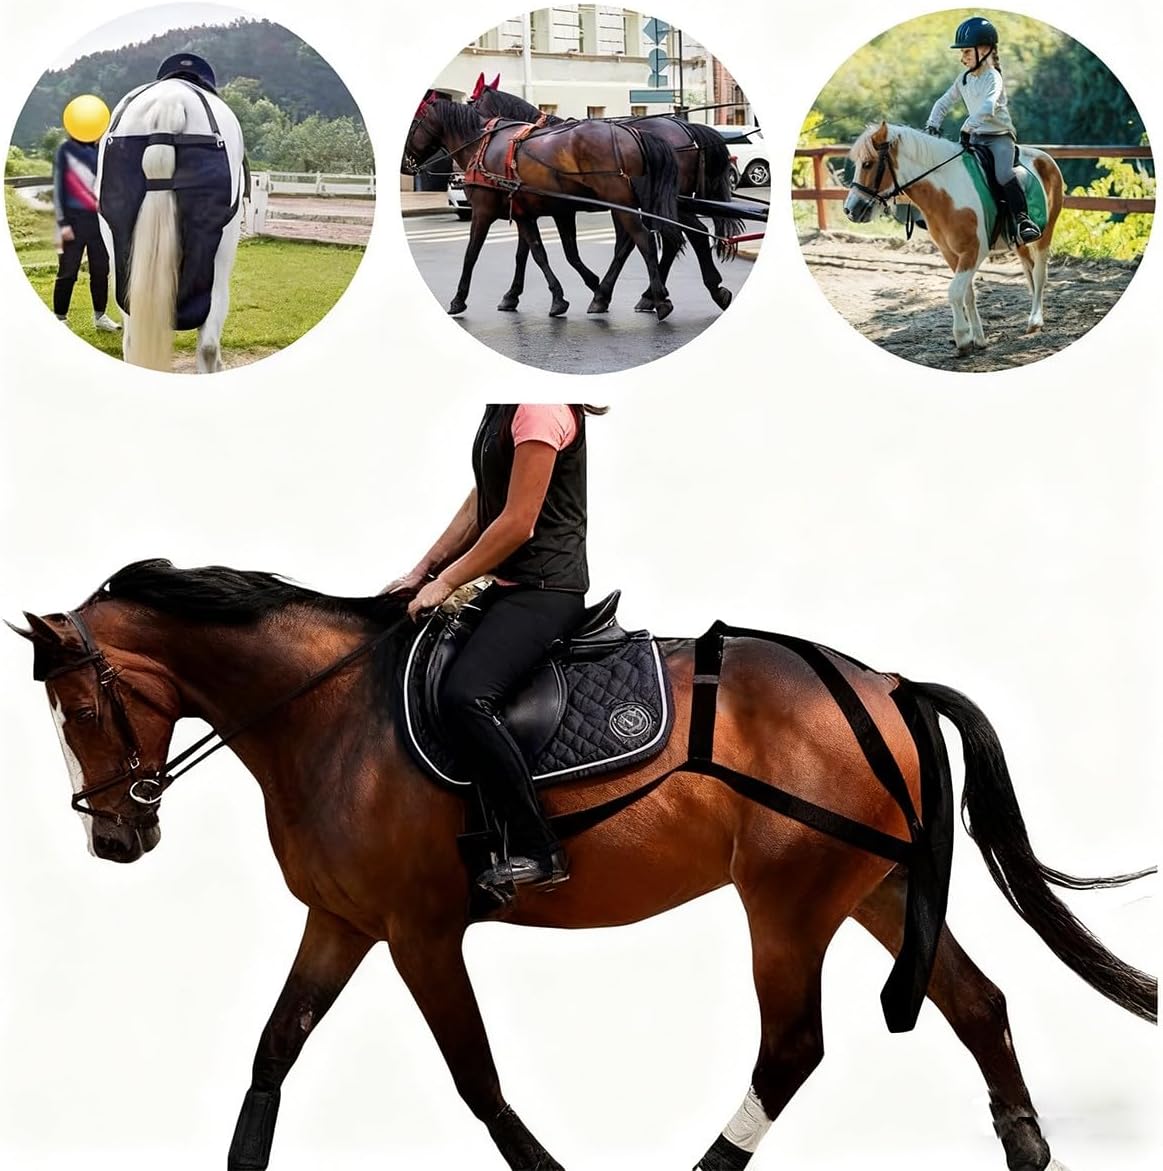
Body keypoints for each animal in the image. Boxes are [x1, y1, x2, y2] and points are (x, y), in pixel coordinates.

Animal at [14, 558, 1155, 1171]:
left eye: (81, 709)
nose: (113, 837)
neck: (330, 713)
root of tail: (884, 682)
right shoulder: (340, 921)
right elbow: (271, 1053)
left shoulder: (418, 931)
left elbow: (474, 1077)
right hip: (871, 885)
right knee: (977, 1001)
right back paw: (1025, 1147)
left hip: (787, 901)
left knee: (792, 1045)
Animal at [403, 97, 683, 319]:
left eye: (413, 124)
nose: (405, 164)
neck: (482, 146)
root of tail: (631, 132)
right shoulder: (530, 214)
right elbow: (538, 253)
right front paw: (565, 293)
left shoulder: (483, 213)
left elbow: (472, 254)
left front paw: (459, 299)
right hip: (625, 206)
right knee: (635, 243)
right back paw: (620, 294)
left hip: (621, 205)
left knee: (644, 241)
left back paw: (658, 299)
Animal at [471, 82, 743, 314]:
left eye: (474, 103)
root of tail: (686, 129)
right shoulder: (531, 206)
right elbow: (526, 251)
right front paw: (514, 294)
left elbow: (533, 251)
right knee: (681, 237)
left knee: (688, 235)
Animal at [844, 122, 1064, 357]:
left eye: (868, 164)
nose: (850, 210)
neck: (946, 194)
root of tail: (1044, 157)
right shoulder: (950, 253)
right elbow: (967, 294)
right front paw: (978, 338)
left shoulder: (973, 251)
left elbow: (954, 292)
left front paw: (962, 338)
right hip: (1018, 241)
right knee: (1029, 270)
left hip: (1046, 233)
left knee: (1039, 272)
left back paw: (1035, 320)